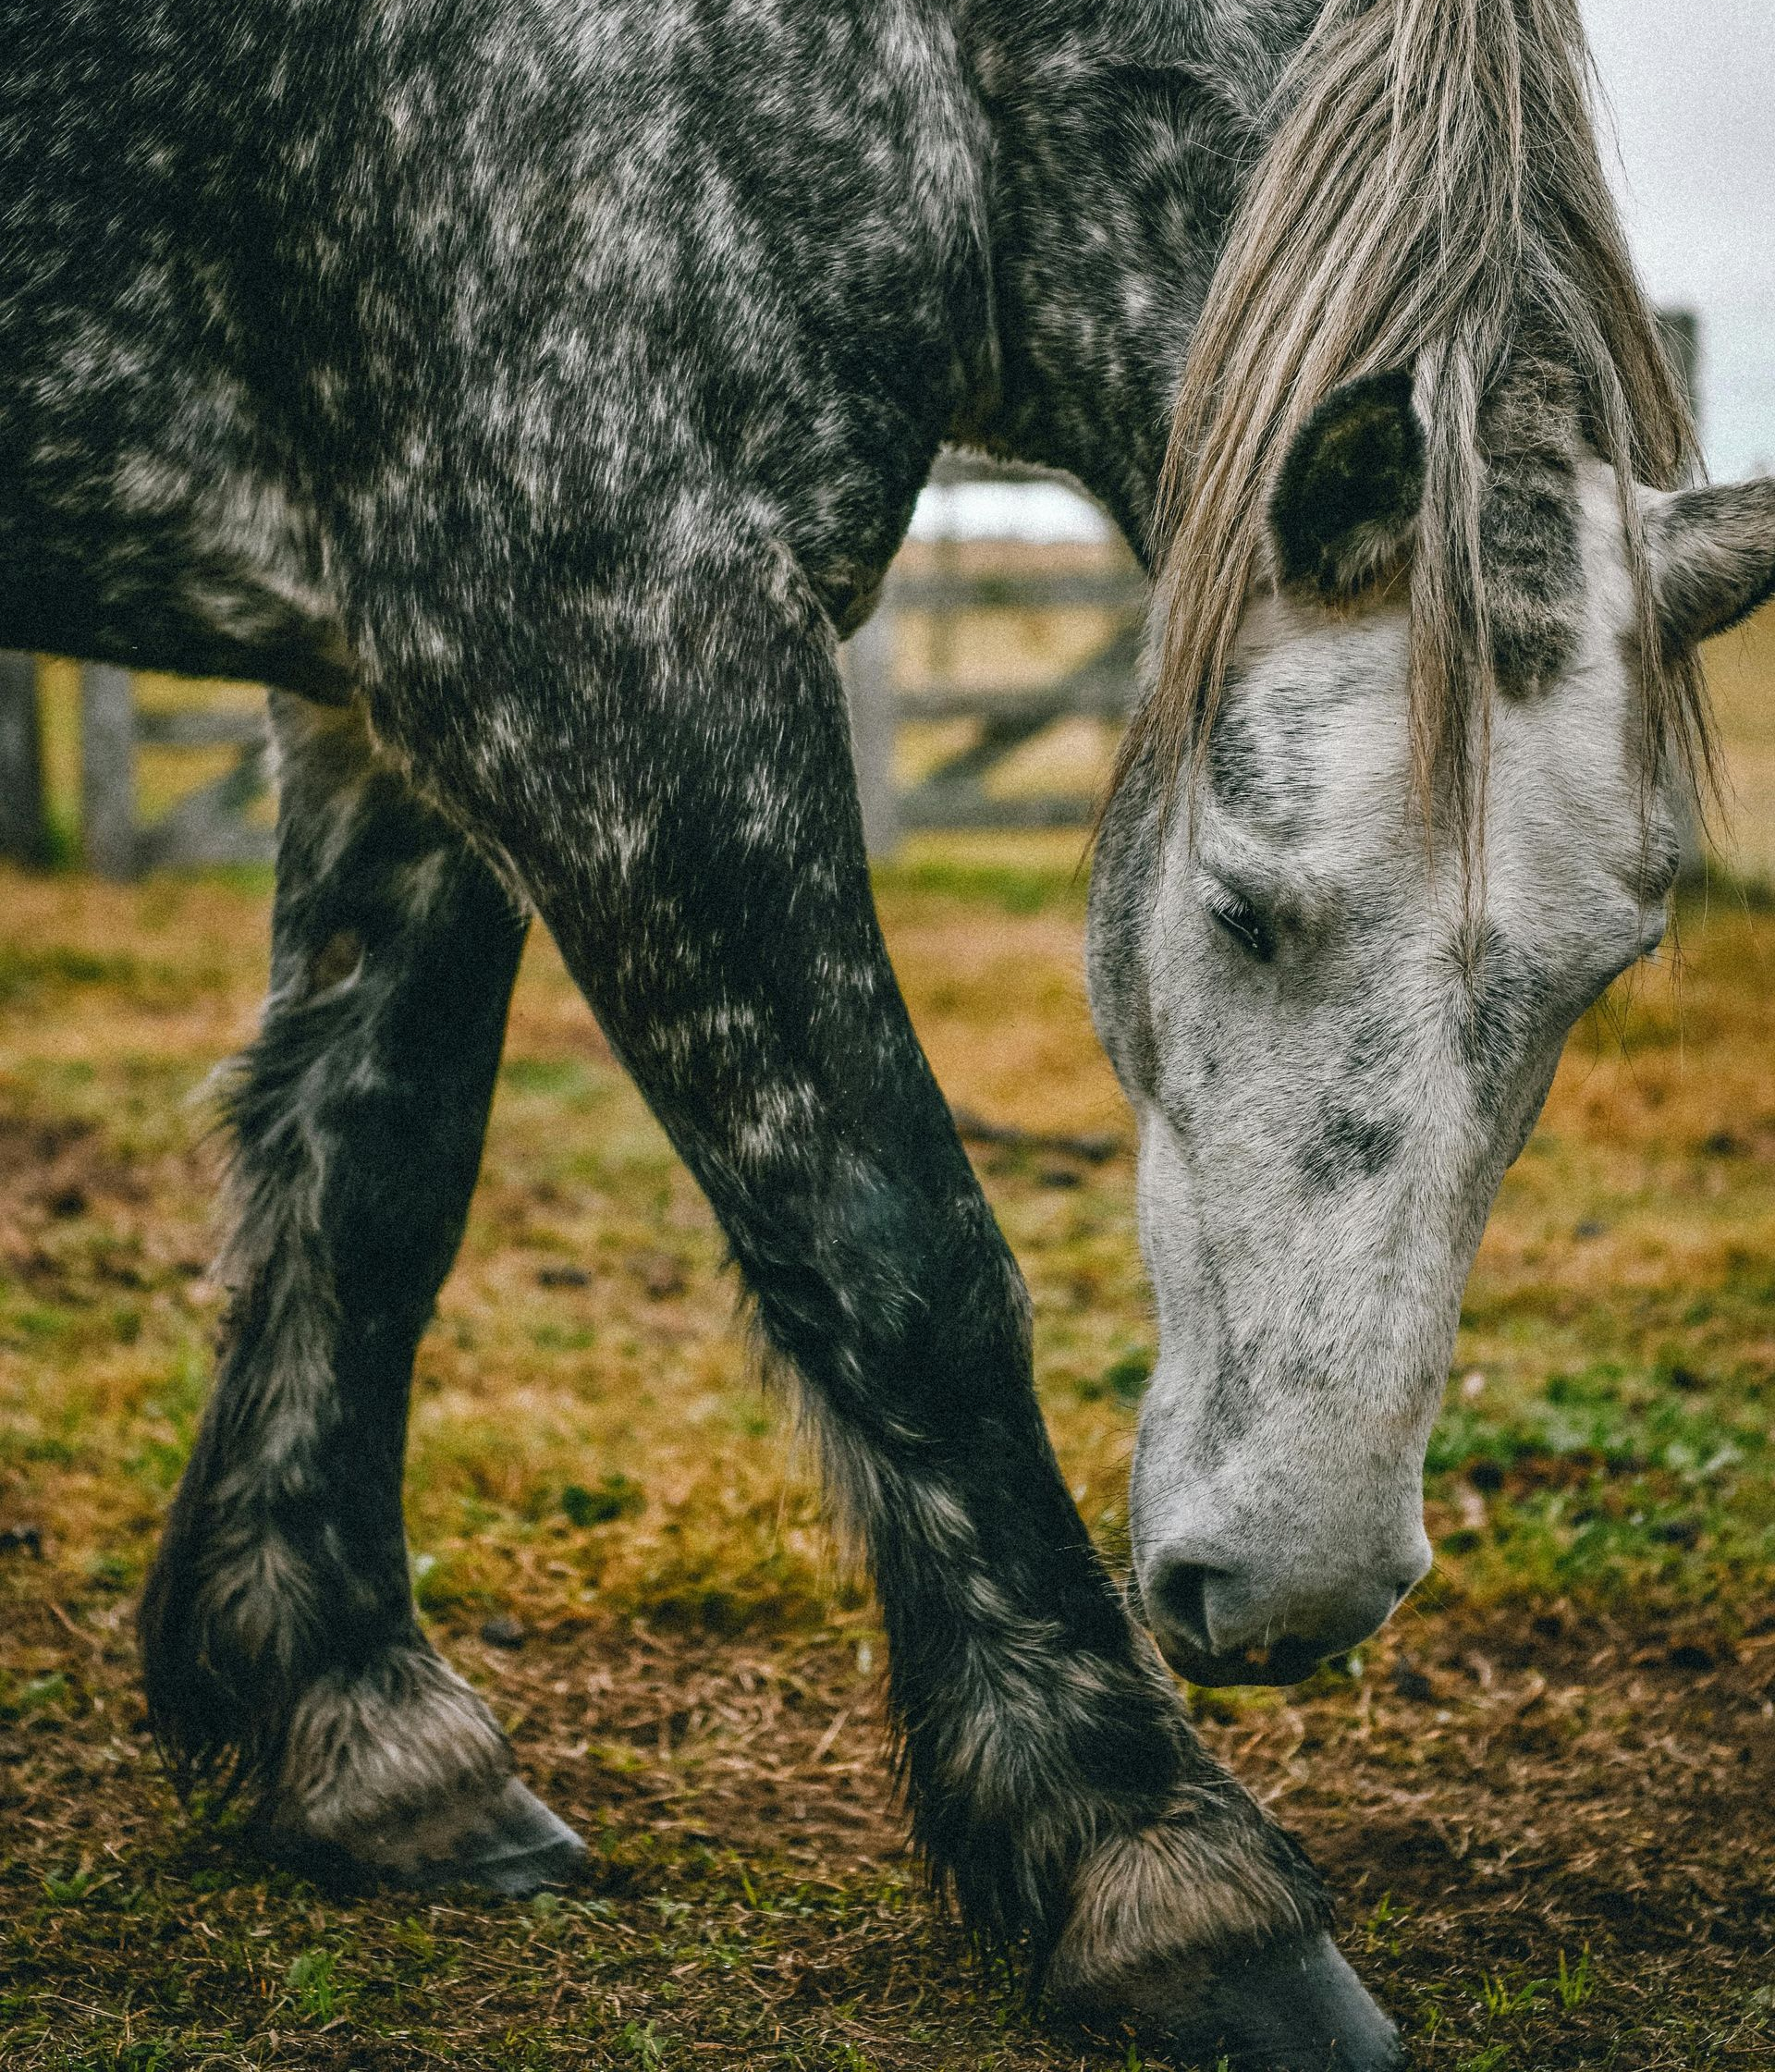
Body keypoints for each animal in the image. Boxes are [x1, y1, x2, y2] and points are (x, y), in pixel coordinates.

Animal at [5, 0, 1774, 2063]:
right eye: (1245, 905)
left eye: (1607, 967)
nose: (1300, 1588)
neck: (906, 71)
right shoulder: (600, 641)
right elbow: (896, 1247)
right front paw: (1161, 1868)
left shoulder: (395, 682)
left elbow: (374, 1170)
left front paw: (352, 1730)